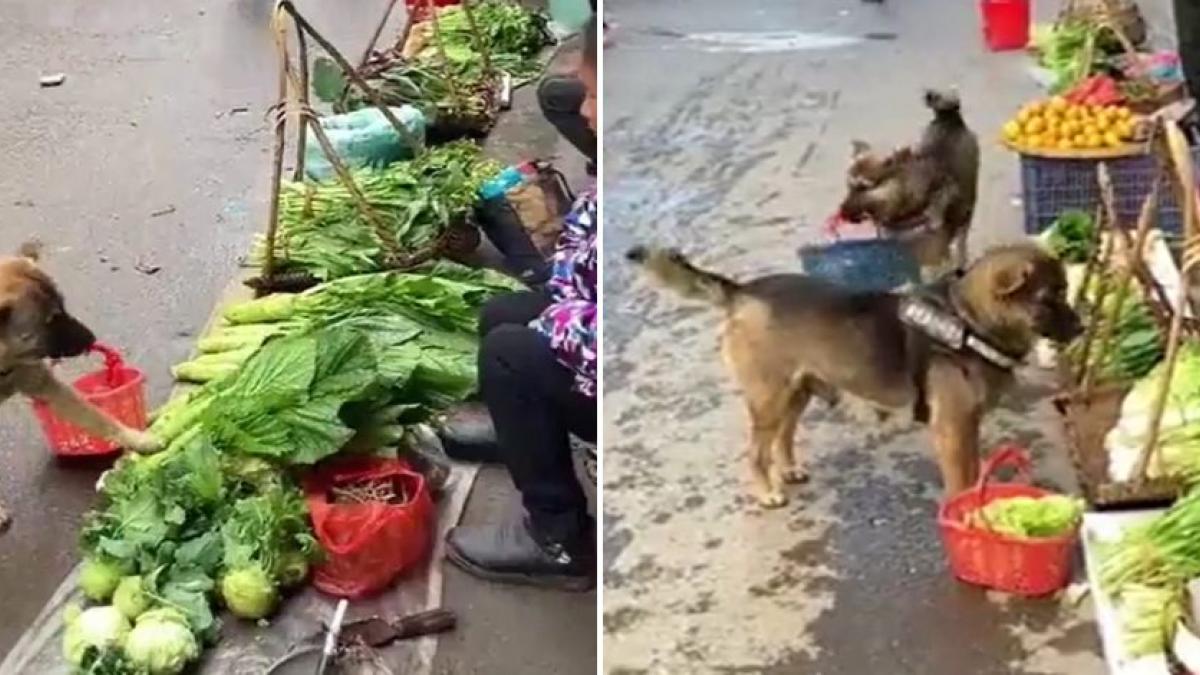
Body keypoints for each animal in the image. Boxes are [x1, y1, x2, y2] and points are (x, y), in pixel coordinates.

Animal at [0, 243, 160, 528]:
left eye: (62, 307)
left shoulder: (44, 383)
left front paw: (139, 439)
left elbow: (100, 418)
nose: (91, 339)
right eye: (50, 320)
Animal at [628, 241, 1080, 504]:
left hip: (797, 392)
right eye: (1050, 298)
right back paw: (767, 491)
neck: (969, 320)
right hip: (769, 398)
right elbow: (962, 481)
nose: (1081, 328)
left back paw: (788, 469)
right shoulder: (953, 430)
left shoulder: (965, 428)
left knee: (783, 437)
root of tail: (742, 291)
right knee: (757, 451)